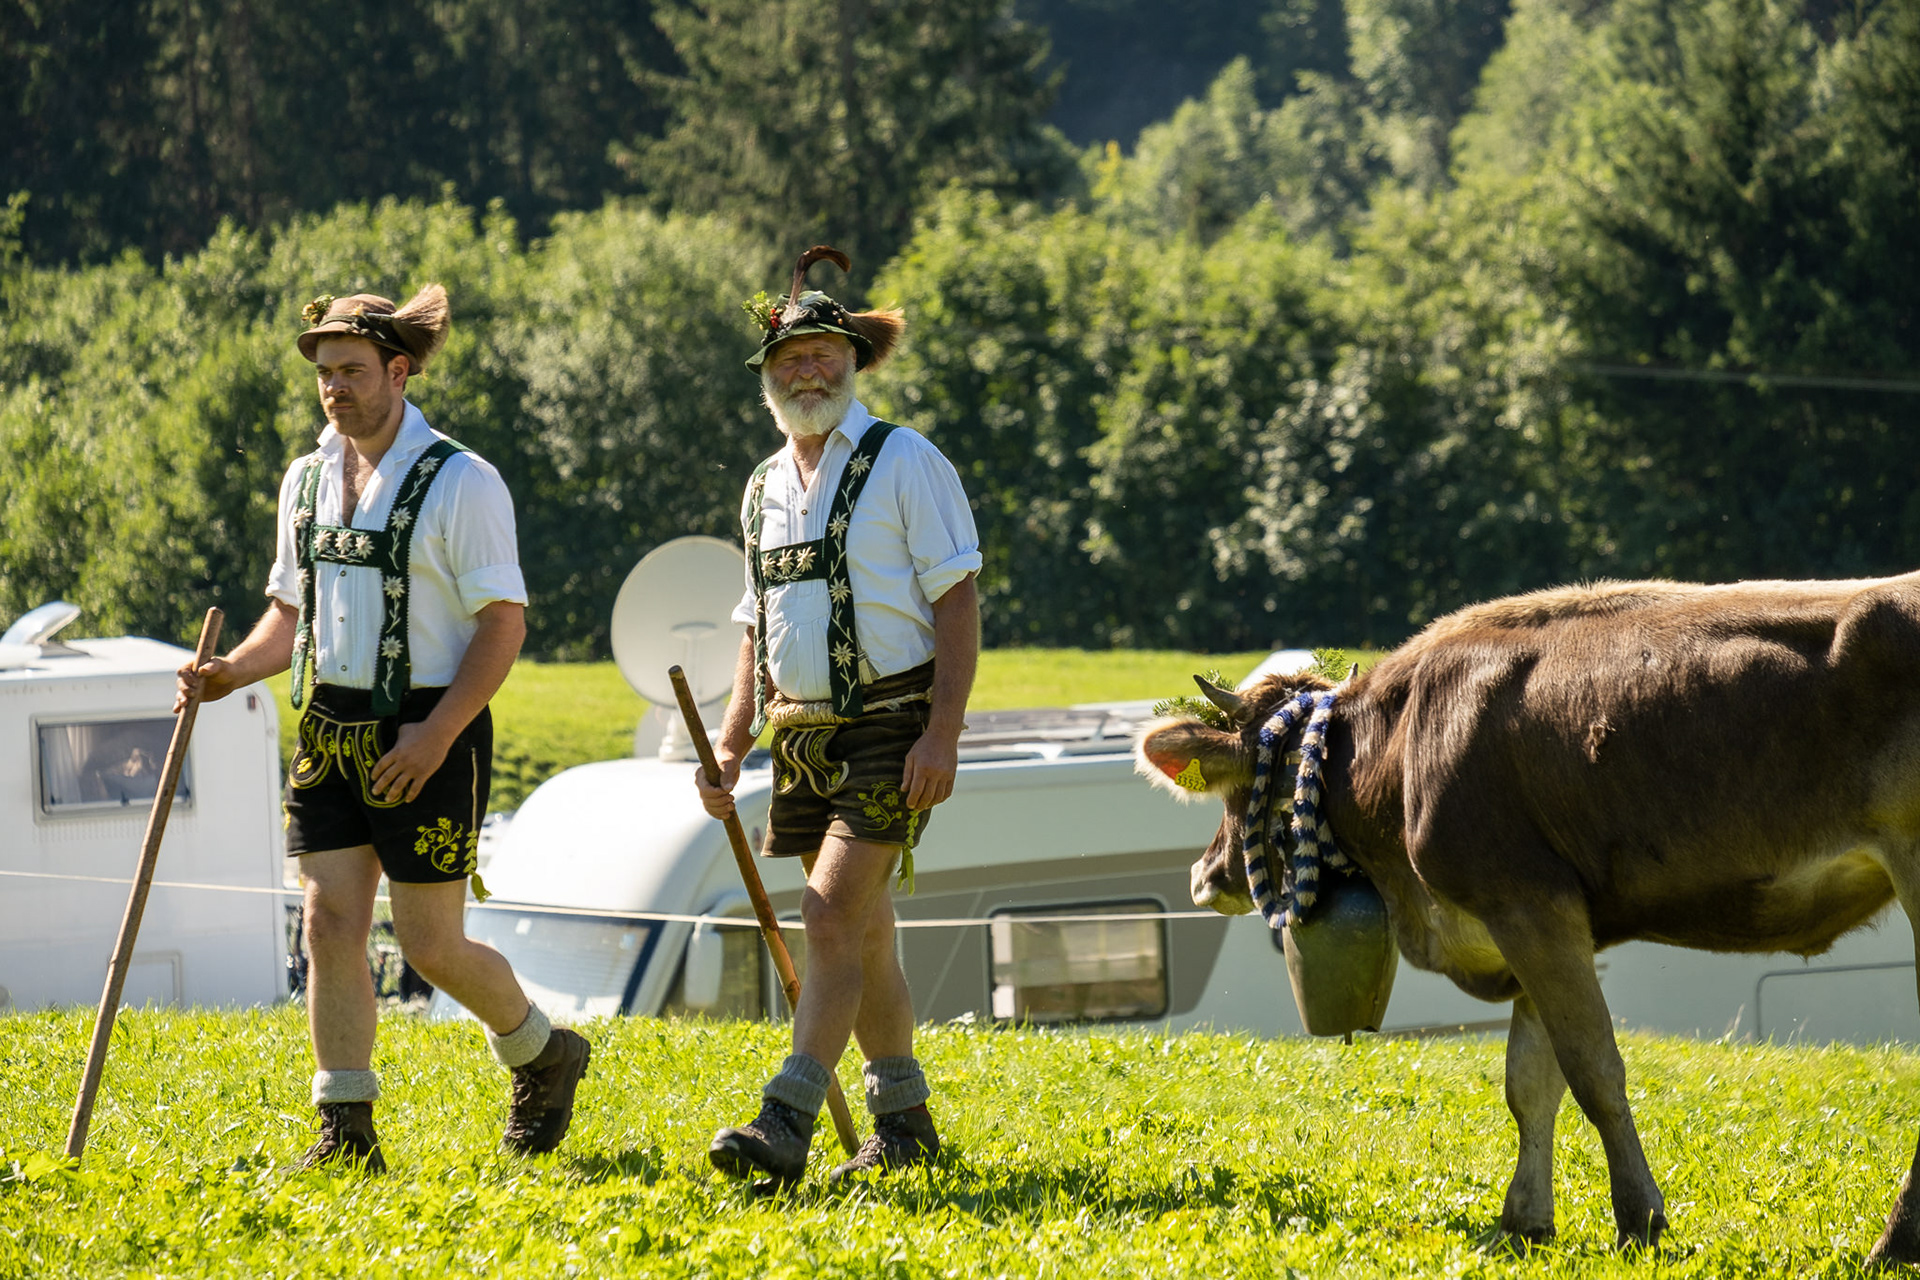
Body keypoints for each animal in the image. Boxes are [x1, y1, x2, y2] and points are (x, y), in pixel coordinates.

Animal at [1136, 574, 1920, 1260]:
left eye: (1233, 791)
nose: (1204, 875)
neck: (1401, 751)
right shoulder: (1530, 923)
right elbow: (1530, 1084)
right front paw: (1525, 1222)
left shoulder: (1528, 904)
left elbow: (1593, 1070)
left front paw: (1640, 1219)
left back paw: (1894, 1239)